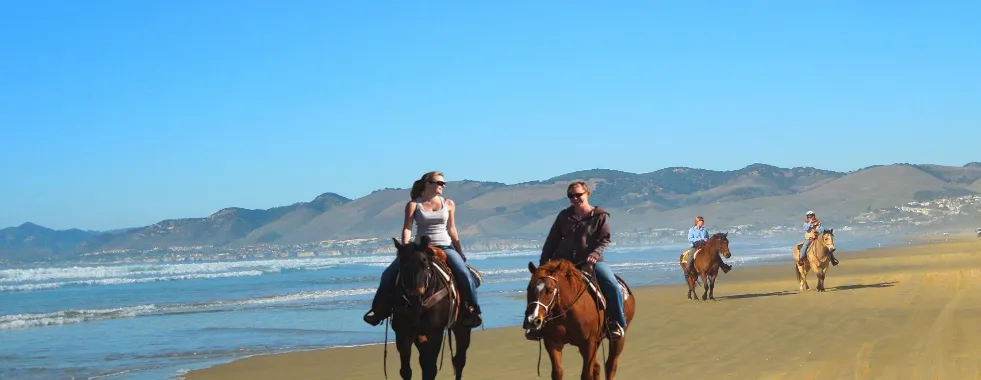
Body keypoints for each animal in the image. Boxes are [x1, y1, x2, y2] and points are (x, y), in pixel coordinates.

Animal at [386, 238, 470, 380]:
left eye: (425, 263)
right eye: (402, 263)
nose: (415, 297)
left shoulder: (435, 331)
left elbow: (430, 369)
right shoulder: (404, 331)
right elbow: (406, 370)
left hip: (462, 327)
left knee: (459, 360)